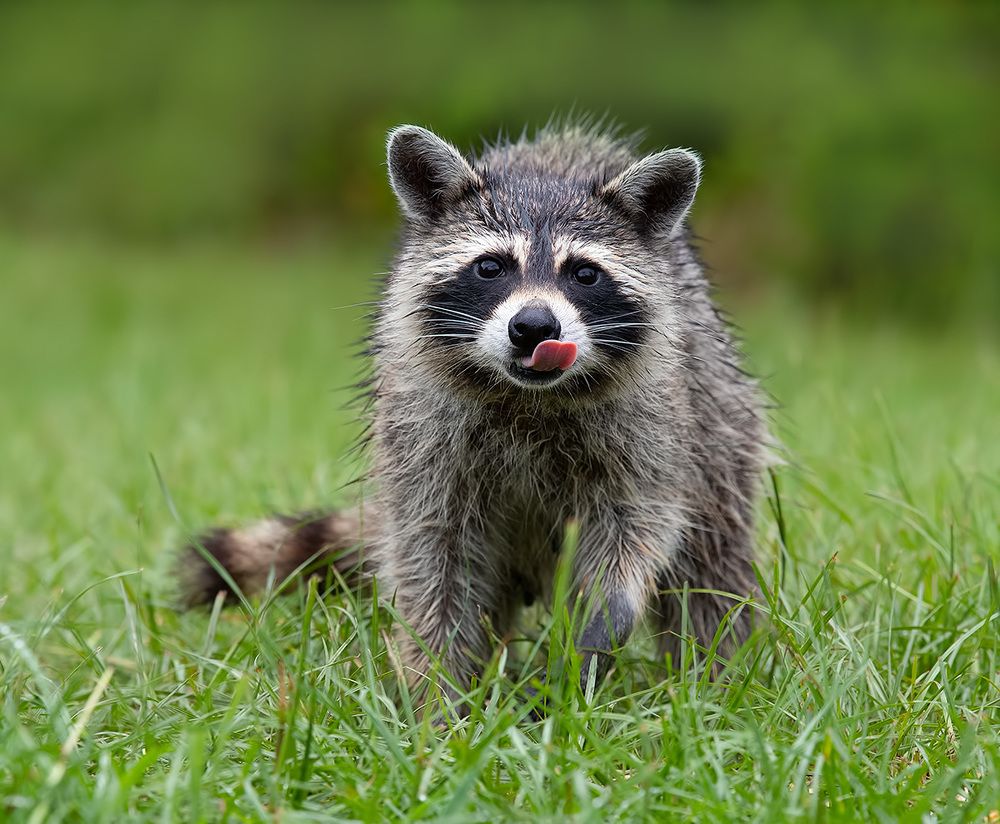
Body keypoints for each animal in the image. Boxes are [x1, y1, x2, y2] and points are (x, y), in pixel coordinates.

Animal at [180, 122, 768, 699]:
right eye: (491, 266)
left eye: (584, 274)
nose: (534, 326)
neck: (529, 396)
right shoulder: (421, 430)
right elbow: (433, 557)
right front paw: (437, 690)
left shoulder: (653, 423)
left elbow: (635, 529)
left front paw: (597, 629)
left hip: (721, 426)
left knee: (712, 569)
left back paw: (712, 679)